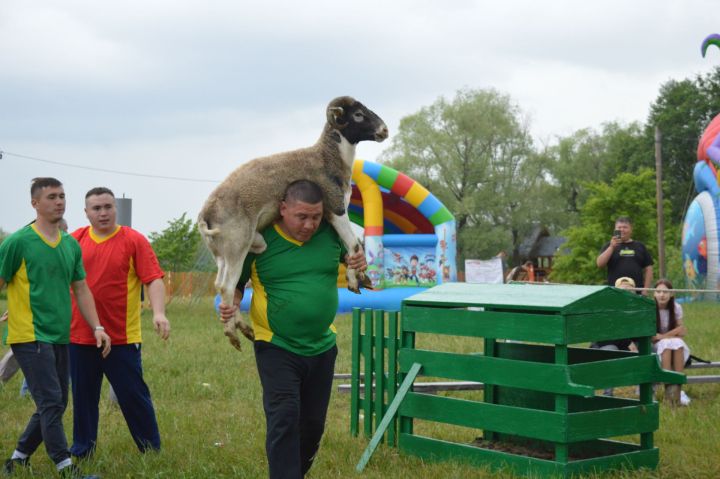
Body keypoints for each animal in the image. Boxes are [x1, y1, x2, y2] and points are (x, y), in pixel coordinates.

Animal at [197, 95, 388, 350]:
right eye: (357, 115)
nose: (384, 130)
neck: (328, 157)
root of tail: (205, 215)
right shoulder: (336, 208)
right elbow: (354, 244)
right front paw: (354, 281)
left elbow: (351, 247)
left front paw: (362, 277)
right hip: (237, 245)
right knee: (227, 287)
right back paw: (235, 335)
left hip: (224, 253)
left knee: (220, 285)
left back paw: (243, 329)